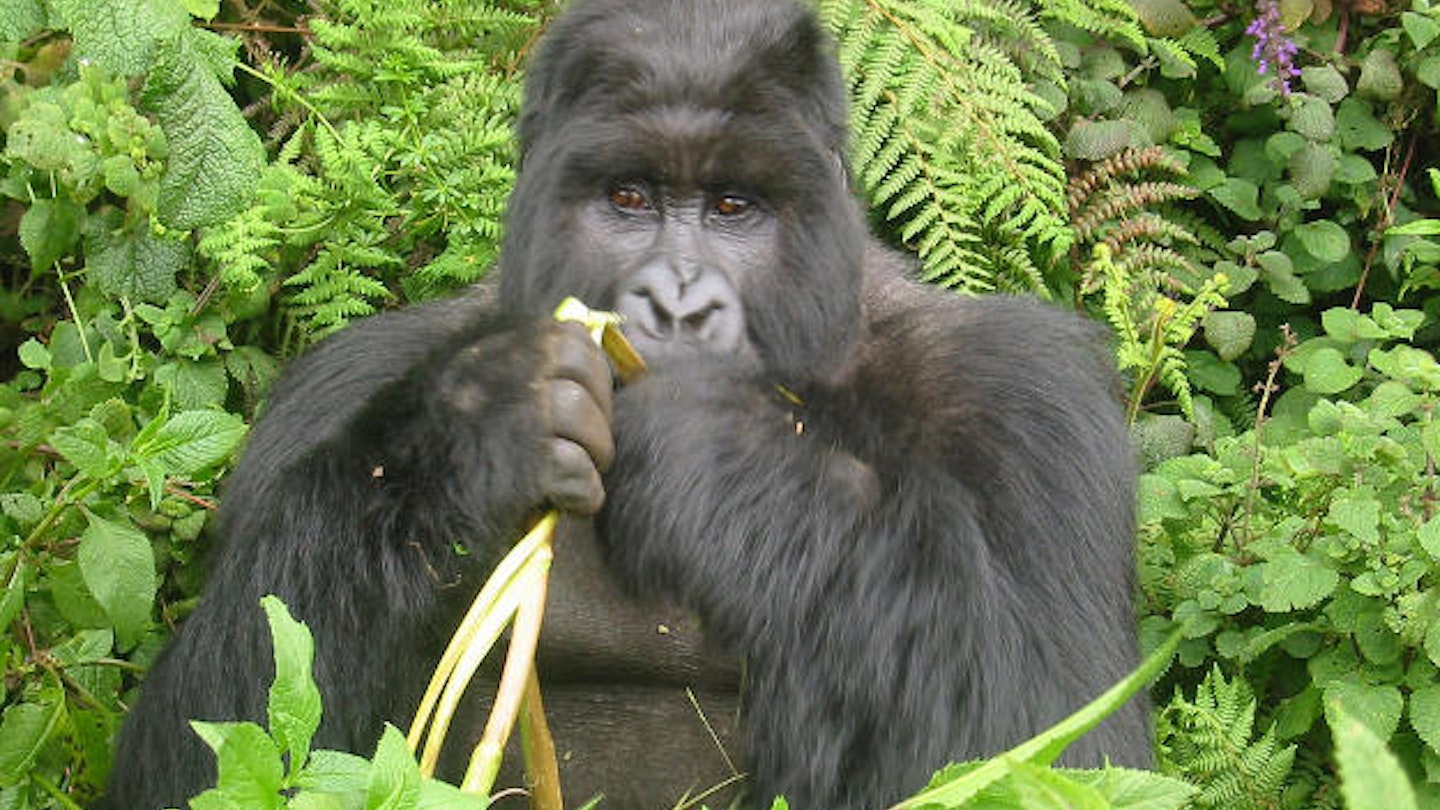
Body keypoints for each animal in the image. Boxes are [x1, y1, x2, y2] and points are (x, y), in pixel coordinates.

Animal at [104, 0, 1146, 801]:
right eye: (630, 197)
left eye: (732, 206)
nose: (676, 306)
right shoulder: (333, 386)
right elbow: (212, 745)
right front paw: (468, 432)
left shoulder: (1023, 395)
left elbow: (1055, 743)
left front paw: (726, 464)